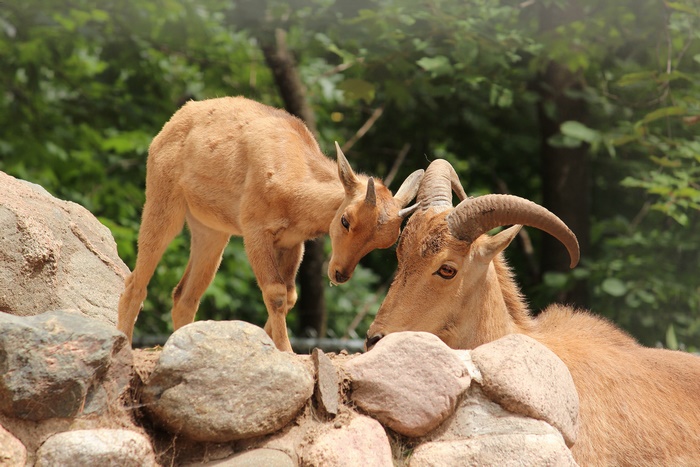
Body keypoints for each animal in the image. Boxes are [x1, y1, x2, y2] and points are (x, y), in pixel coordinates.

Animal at [117, 96, 424, 352]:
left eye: (385, 242)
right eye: (346, 220)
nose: (339, 273)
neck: (295, 183)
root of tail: (171, 123)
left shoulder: (293, 243)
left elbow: (289, 295)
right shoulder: (255, 231)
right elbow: (275, 292)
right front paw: (286, 350)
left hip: (211, 231)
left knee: (184, 296)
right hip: (163, 200)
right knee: (136, 281)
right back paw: (125, 343)